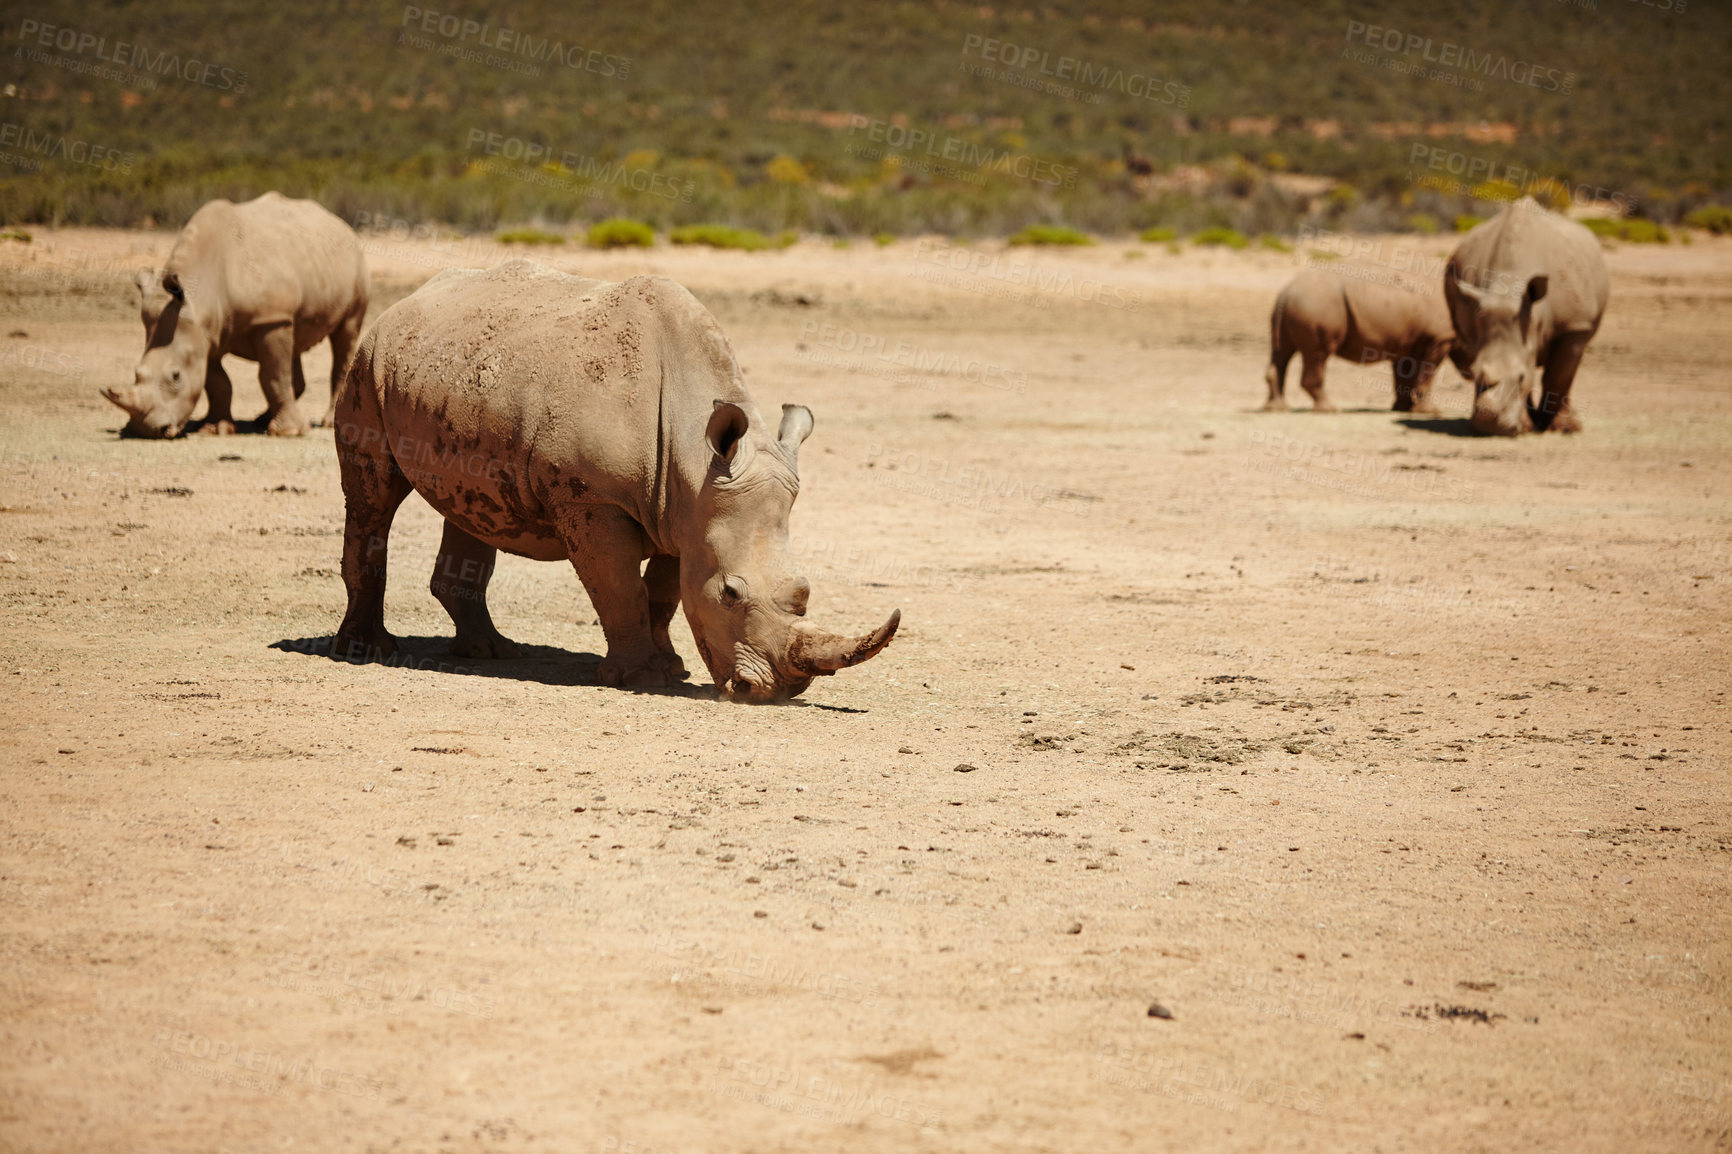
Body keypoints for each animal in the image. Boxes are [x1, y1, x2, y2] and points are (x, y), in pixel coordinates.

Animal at [102, 190, 368, 438]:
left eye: (176, 376)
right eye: (136, 372)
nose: (145, 430)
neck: (199, 297)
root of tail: (340, 224)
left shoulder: (269, 320)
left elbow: (273, 375)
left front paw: (288, 432)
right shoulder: (206, 334)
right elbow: (217, 383)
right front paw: (215, 429)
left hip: (354, 266)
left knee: (345, 334)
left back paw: (325, 422)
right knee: (296, 339)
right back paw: (261, 420)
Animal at [330, 258, 900, 700]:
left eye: (804, 590)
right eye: (730, 594)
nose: (775, 691)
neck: (693, 457)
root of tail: (407, 302)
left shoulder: (685, 511)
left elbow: (664, 593)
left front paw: (671, 668)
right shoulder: (592, 500)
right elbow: (620, 586)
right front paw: (640, 678)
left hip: (457, 381)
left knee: (472, 504)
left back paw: (492, 652)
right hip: (369, 362)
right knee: (374, 498)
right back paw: (367, 649)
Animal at [1267, 265, 1454, 414]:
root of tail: (1285, 293)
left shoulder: (1407, 343)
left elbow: (1405, 375)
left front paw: (1402, 408)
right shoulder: (1439, 339)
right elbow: (1426, 375)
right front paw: (1430, 412)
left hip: (1297, 307)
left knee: (1282, 352)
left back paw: (1277, 409)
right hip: (1316, 306)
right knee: (1318, 355)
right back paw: (1329, 410)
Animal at [1441, 195, 1600, 433]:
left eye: (1521, 376)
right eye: (1475, 373)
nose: (1489, 426)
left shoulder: (1575, 326)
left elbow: (1558, 377)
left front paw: (1564, 428)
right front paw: (1524, 426)